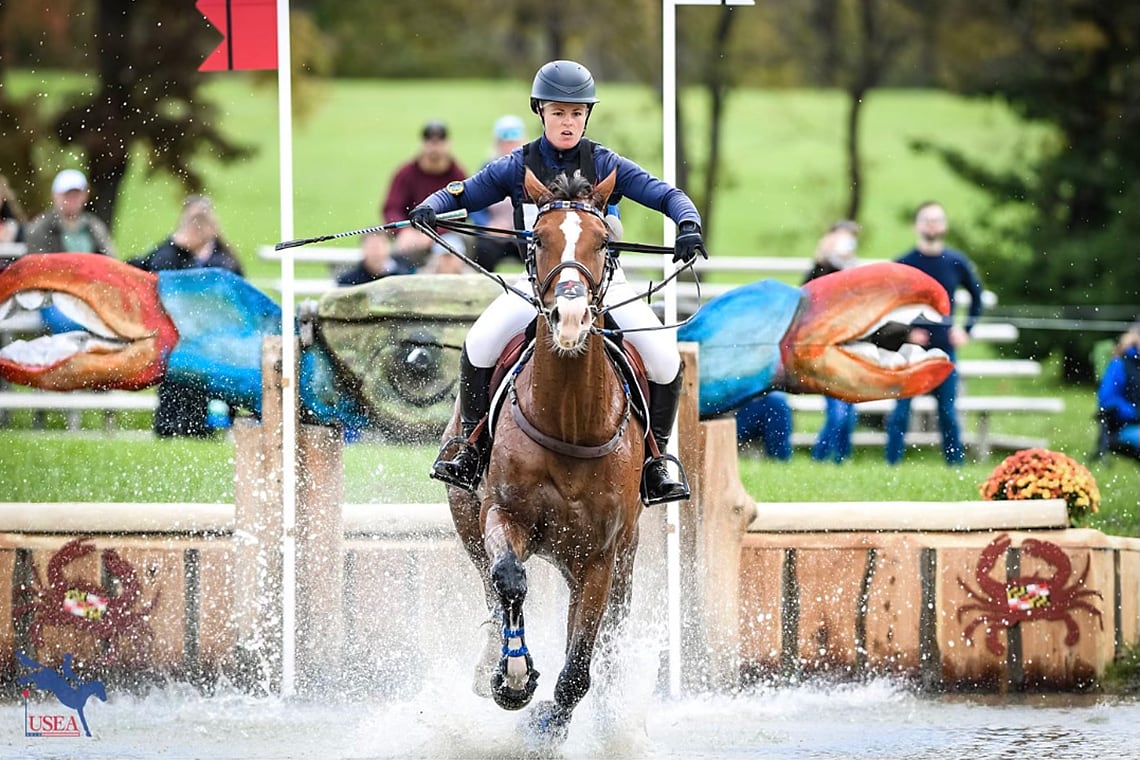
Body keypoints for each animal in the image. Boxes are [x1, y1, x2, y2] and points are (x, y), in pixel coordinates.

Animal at [442, 166, 647, 742]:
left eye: (603, 242)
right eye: (538, 240)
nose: (571, 315)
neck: (571, 420)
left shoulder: (600, 557)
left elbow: (580, 665)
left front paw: (548, 724)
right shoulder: (501, 514)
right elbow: (509, 579)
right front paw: (512, 678)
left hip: (623, 558)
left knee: (610, 636)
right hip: (466, 518)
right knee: (490, 584)